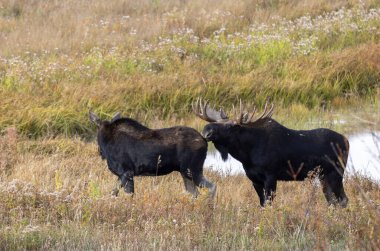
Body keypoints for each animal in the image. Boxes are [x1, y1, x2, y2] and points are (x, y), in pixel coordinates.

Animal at [87, 111, 215, 197]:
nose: (99, 151)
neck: (106, 145)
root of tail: (204, 139)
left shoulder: (127, 172)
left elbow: (122, 194)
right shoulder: (123, 175)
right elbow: (118, 193)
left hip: (193, 169)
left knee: (212, 186)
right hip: (185, 173)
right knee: (195, 193)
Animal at [193, 99, 350, 207]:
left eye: (232, 126)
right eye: (218, 121)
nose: (207, 130)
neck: (247, 155)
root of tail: (346, 141)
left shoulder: (271, 176)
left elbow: (269, 204)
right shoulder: (254, 179)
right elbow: (262, 204)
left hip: (335, 173)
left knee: (343, 199)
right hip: (324, 176)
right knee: (332, 200)